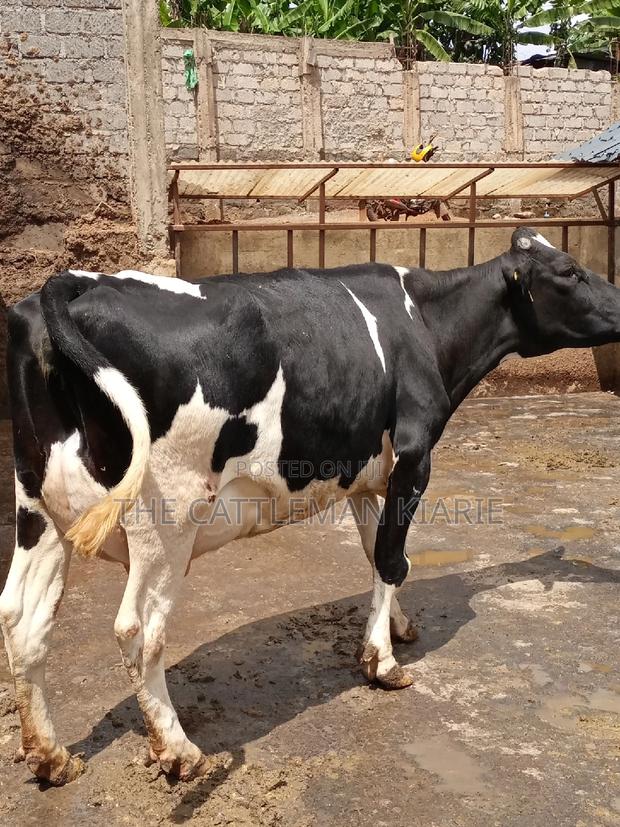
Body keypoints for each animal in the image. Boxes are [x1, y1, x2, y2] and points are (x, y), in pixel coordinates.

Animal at [1, 227, 619, 786]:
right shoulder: (415, 455)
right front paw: (382, 663)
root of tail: (73, 283)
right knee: (138, 630)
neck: (424, 323)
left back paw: (51, 756)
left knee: (21, 618)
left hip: (40, 509)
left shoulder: (368, 471)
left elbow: (380, 553)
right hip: (166, 517)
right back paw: (179, 751)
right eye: (570, 271)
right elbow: (392, 559)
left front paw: (397, 626)